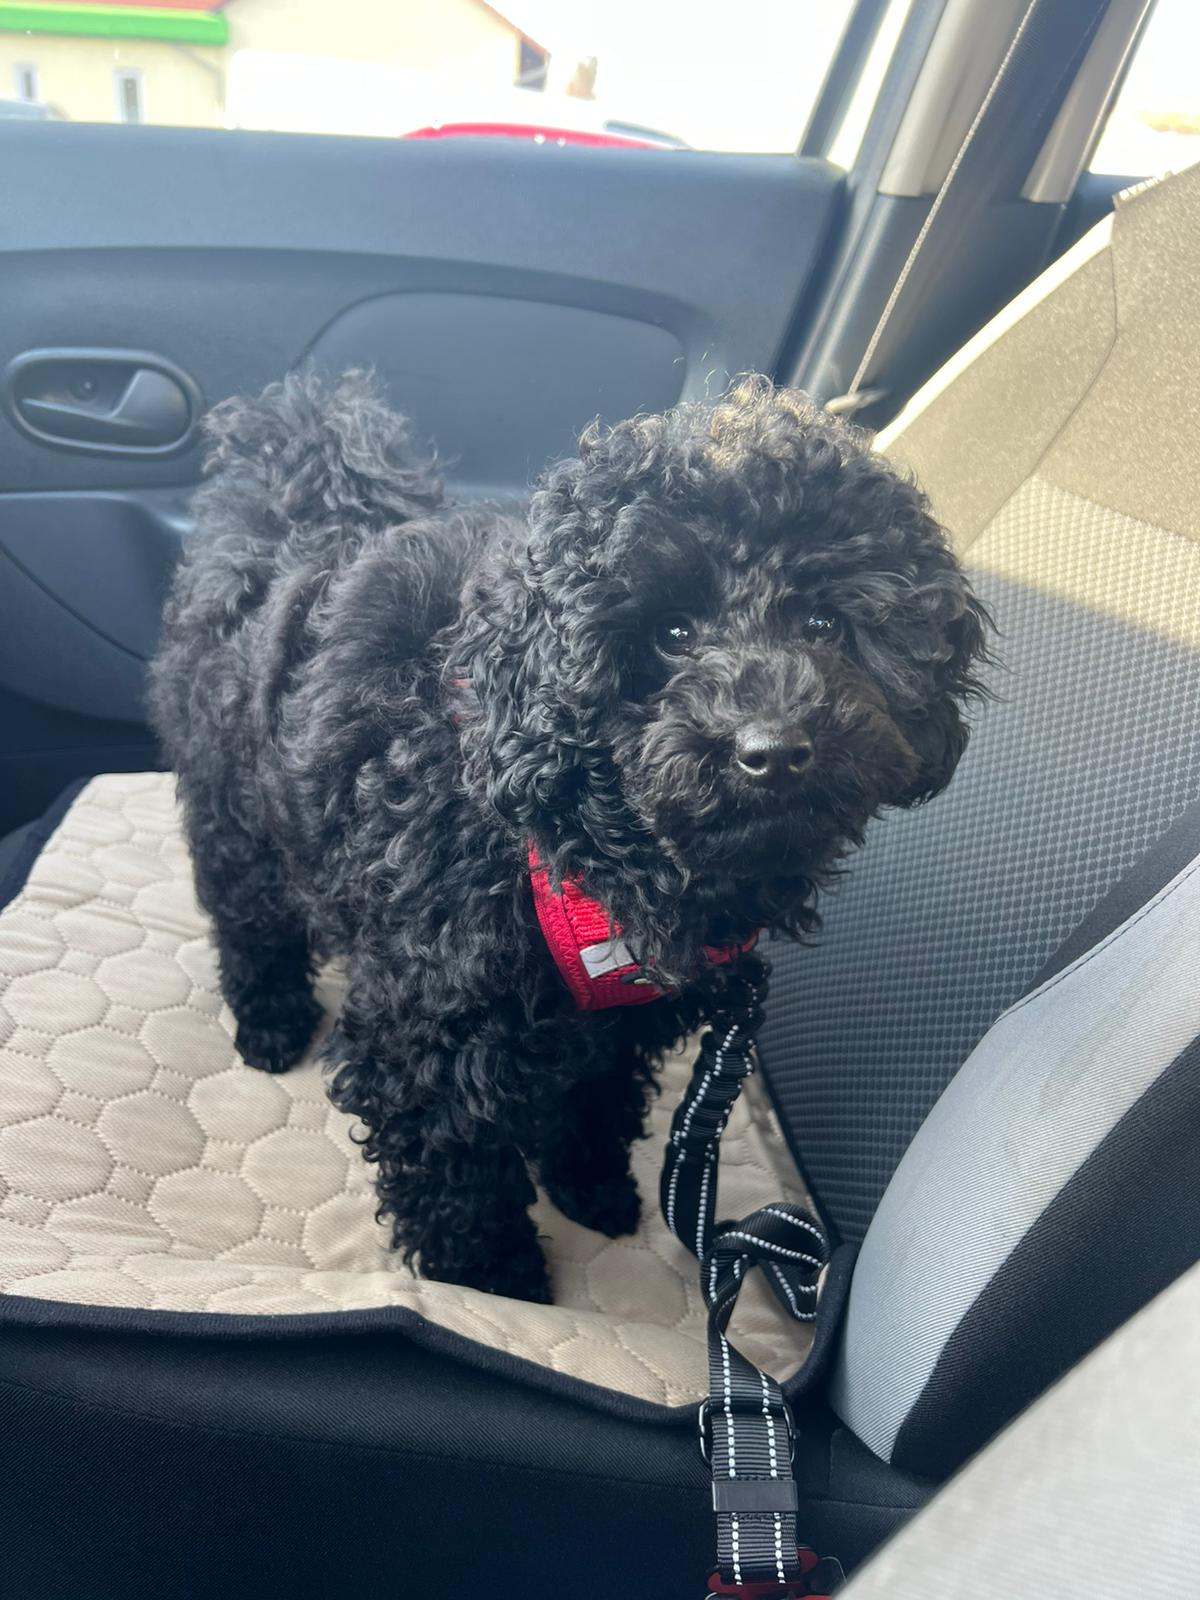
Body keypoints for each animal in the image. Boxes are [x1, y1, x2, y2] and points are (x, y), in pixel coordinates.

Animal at [149, 372, 989, 1304]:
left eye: (823, 625)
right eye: (671, 633)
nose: (772, 750)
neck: (575, 846)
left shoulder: (622, 1021)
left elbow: (596, 1103)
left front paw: (590, 1190)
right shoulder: (425, 1041)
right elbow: (459, 1180)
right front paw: (493, 1282)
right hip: (236, 811)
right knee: (249, 919)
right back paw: (270, 1023)